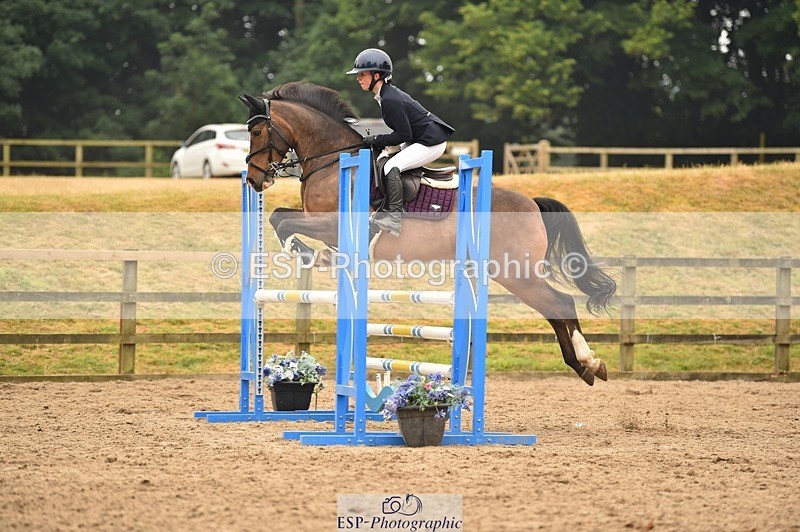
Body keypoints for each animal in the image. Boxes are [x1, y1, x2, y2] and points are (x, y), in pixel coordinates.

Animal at [239, 81, 617, 386]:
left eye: (257, 133)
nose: (254, 179)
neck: (332, 161)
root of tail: (532, 204)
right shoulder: (317, 220)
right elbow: (278, 216)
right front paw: (310, 253)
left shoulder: (332, 224)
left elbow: (283, 223)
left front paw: (305, 252)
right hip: (512, 272)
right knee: (555, 310)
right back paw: (587, 367)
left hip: (516, 272)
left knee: (560, 303)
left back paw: (589, 362)